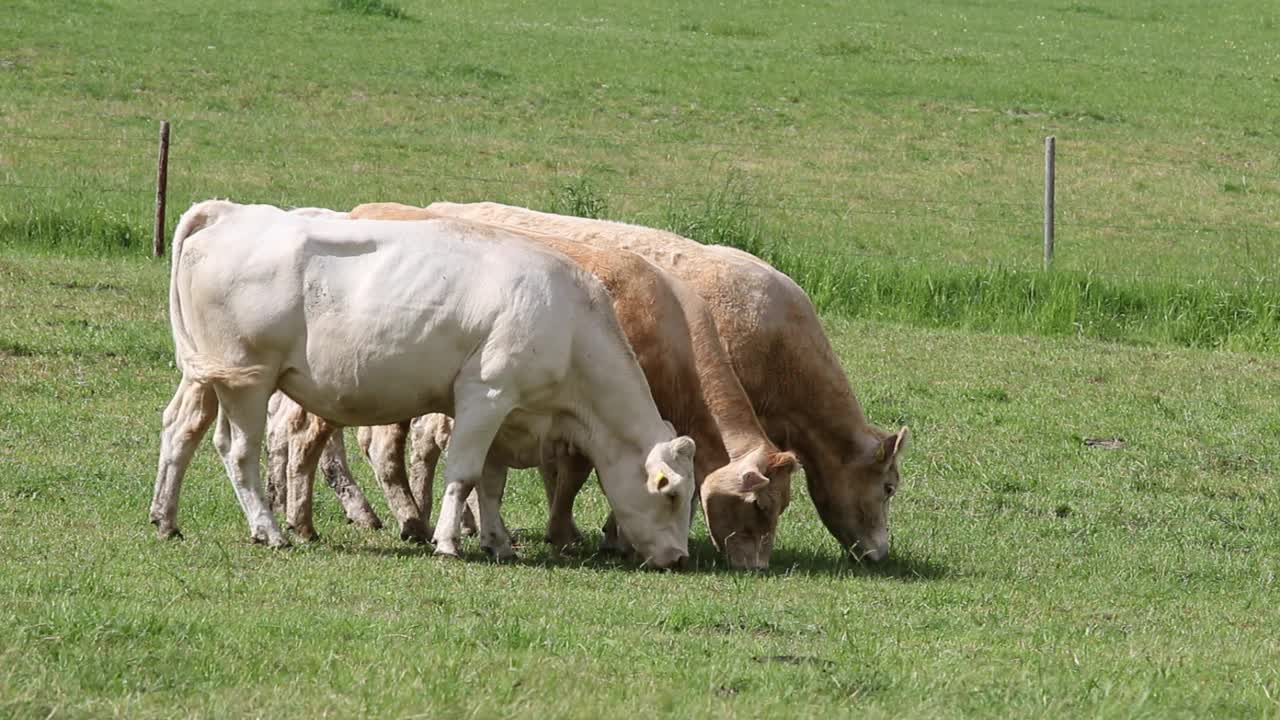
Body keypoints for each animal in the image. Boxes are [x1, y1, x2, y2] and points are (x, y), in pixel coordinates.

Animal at [147, 199, 701, 566]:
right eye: (671, 492)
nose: (677, 557)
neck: (570, 323)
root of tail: (227, 212)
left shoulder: (508, 412)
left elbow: (492, 482)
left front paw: (497, 541)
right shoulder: (486, 396)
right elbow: (464, 474)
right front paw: (449, 542)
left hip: (207, 375)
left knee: (181, 431)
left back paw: (166, 519)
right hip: (248, 379)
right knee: (238, 450)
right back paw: (270, 530)